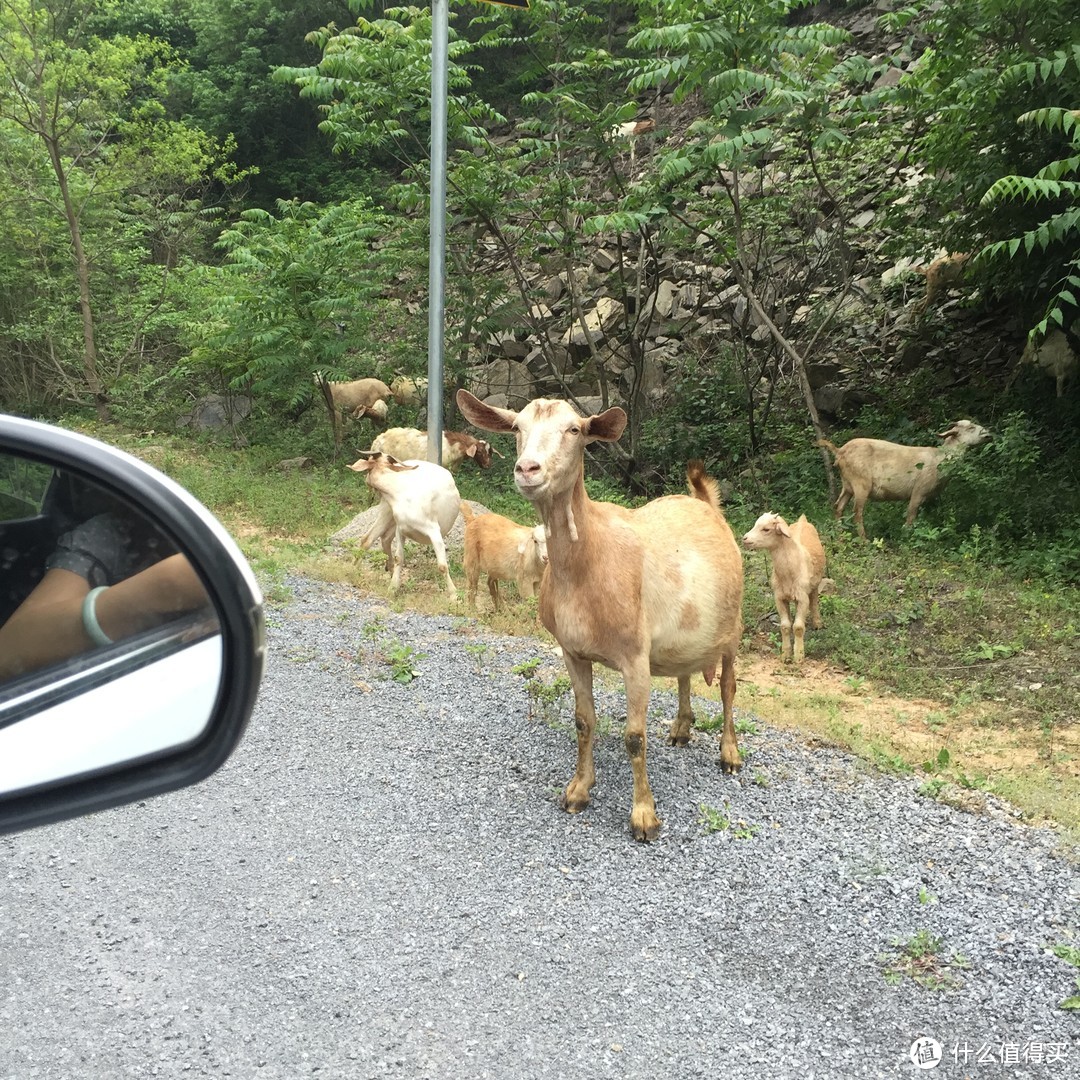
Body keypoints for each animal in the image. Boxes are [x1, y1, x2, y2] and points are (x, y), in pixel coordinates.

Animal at [347, 451, 462, 596]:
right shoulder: (401, 529)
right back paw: (356, 569)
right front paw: (393, 588)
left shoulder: (434, 531)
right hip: (387, 512)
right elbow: (399, 558)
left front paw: (454, 595)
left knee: (379, 538)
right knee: (372, 538)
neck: (400, 491)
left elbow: (442, 566)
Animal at [453, 388, 743, 842]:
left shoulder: (635, 657)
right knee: (684, 672)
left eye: (574, 430)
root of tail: (705, 505)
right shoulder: (572, 650)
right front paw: (578, 790)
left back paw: (729, 753)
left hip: (732, 628)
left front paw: (644, 816)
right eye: (517, 427)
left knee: (729, 688)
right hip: (687, 632)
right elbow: (583, 722)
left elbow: (635, 737)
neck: (590, 561)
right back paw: (681, 728)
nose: (528, 469)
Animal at [743, 509, 825, 660]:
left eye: (766, 529)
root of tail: (802, 520)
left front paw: (798, 656)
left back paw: (817, 623)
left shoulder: (803, 597)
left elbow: (798, 627)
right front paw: (786, 655)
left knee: (814, 601)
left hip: (815, 585)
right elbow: (785, 626)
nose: (745, 539)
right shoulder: (779, 597)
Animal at [812, 419, 989, 540]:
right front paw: (906, 536)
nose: (988, 433)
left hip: (847, 485)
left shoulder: (932, 496)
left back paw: (840, 535)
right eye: (971, 428)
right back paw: (864, 540)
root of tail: (840, 451)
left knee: (838, 506)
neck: (940, 458)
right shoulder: (919, 491)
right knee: (857, 512)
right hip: (861, 484)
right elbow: (911, 514)